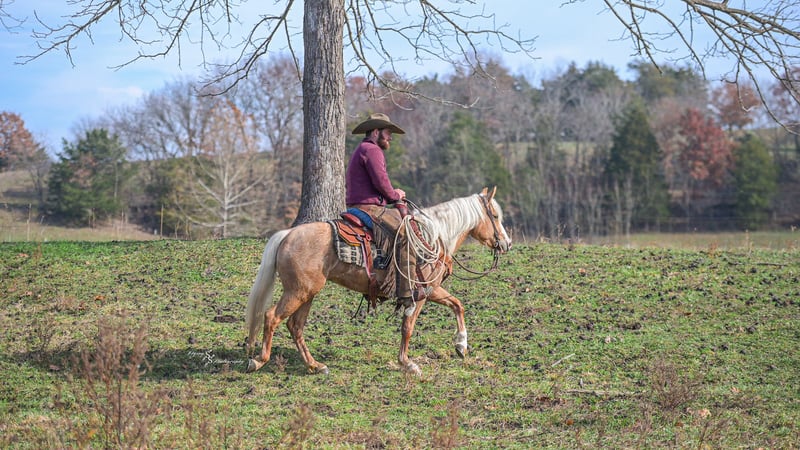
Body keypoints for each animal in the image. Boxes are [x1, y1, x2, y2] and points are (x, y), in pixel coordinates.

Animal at [244, 187, 511, 376]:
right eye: (495, 215)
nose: (507, 243)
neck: (433, 236)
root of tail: (287, 234)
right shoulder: (419, 293)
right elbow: (408, 326)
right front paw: (408, 363)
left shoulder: (432, 289)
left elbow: (458, 305)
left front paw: (461, 345)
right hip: (298, 292)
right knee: (272, 317)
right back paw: (258, 361)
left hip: (307, 293)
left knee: (295, 326)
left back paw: (315, 366)